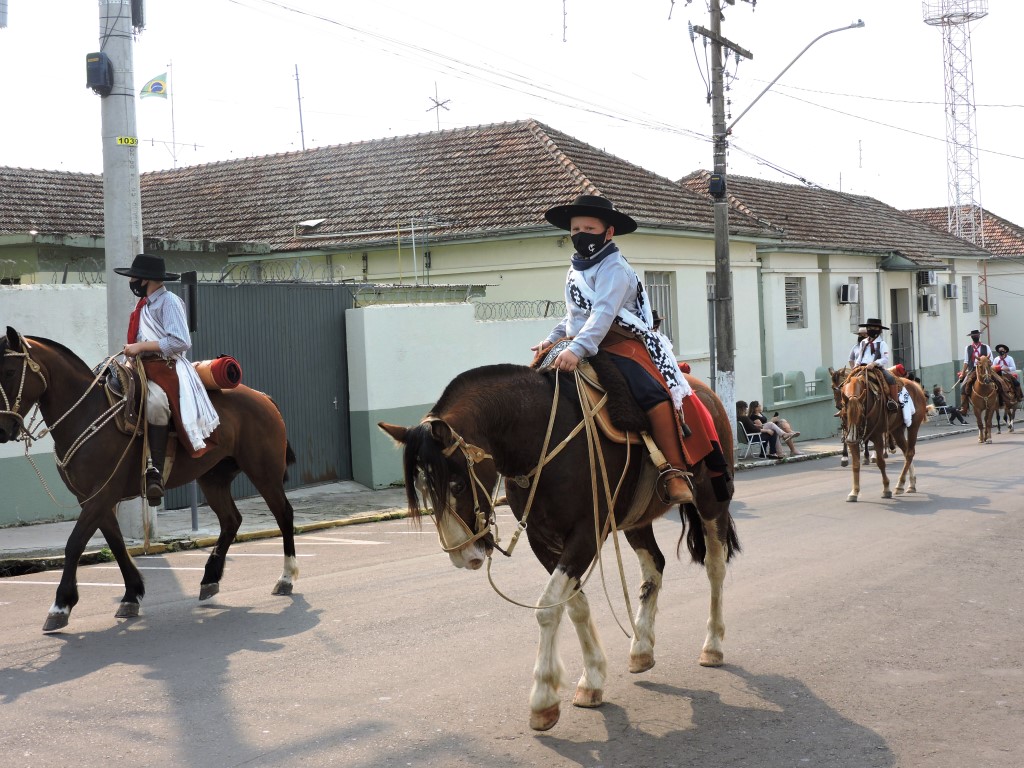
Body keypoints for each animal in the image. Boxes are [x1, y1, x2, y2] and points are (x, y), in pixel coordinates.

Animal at [0, 327, 299, 634]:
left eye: (9, 371)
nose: (2, 428)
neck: (88, 414)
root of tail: (262, 397)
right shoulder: (92, 498)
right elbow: (116, 543)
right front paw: (131, 594)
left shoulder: (101, 495)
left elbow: (75, 544)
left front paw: (61, 605)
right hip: (213, 478)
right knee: (231, 520)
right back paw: (209, 579)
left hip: (264, 472)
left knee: (283, 514)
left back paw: (285, 578)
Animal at [376, 364, 737, 737]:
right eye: (423, 490)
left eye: (458, 484)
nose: (464, 556)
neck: (541, 441)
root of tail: (704, 391)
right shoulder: (542, 539)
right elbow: (574, 605)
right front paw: (592, 679)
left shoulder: (586, 535)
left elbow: (548, 607)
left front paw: (544, 697)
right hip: (636, 519)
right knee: (654, 567)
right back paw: (641, 648)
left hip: (712, 503)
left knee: (715, 566)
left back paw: (712, 645)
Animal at [839, 366, 929, 505]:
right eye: (844, 414)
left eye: (861, 415)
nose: (852, 438)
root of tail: (917, 387)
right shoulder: (852, 439)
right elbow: (855, 465)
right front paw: (854, 492)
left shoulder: (877, 436)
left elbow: (881, 462)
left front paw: (886, 489)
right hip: (897, 430)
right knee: (907, 452)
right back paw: (911, 484)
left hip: (913, 426)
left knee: (909, 453)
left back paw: (899, 485)